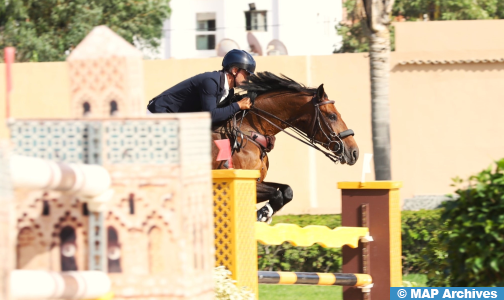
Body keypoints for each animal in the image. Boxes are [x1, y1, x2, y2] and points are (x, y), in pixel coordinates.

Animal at [211, 72, 360, 221]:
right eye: (332, 116)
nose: (354, 152)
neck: (250, 132)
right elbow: (277, 193)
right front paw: (263, 214)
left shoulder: (258, 181)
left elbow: (287, 191)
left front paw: (264, 213)